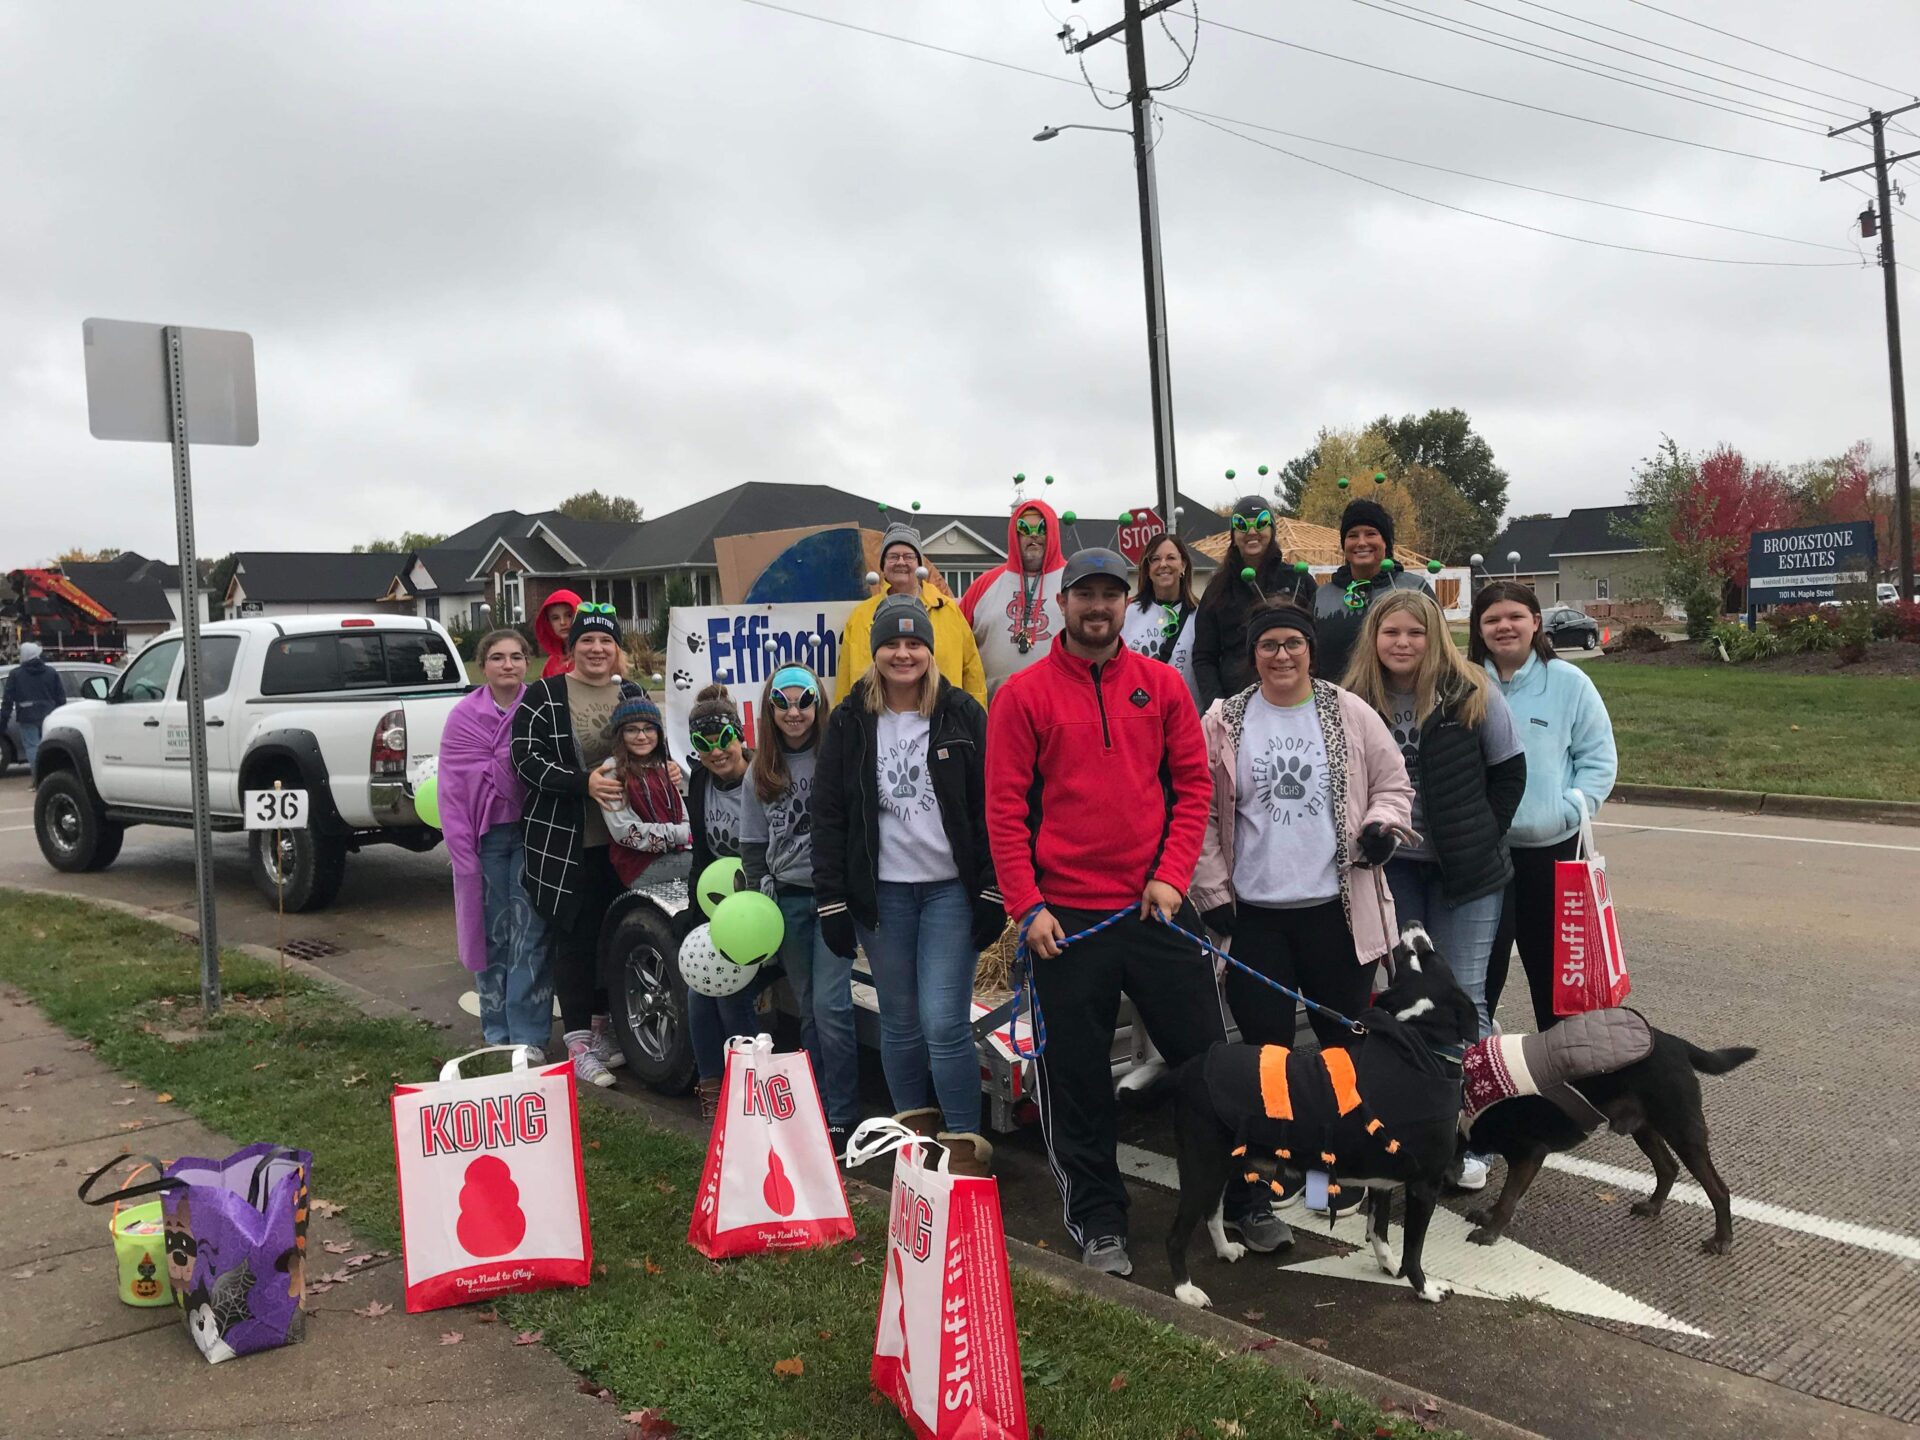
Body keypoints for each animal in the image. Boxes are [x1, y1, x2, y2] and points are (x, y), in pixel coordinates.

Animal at [1159, 929, 1474, 1313]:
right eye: (1425, 954)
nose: (1411, 926)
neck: (1420, 1042)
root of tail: (1189, 1069)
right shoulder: (1424, 1185)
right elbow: (1413, 1250)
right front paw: (1425, 1288)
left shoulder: (1383, 1180)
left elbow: (1379, 1230)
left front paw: (1387, 1265)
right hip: (1202, 1167)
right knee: (1176, 1236)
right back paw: (1185, 1291)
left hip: (1224, 1164)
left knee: (1213, 1212)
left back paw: (1224, 1250)